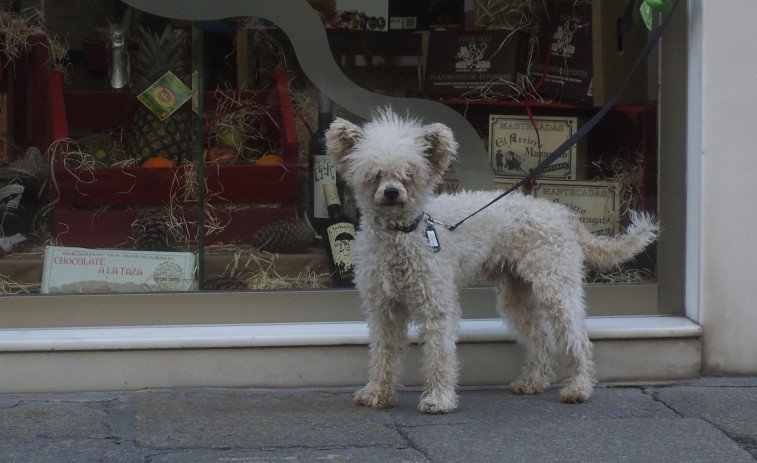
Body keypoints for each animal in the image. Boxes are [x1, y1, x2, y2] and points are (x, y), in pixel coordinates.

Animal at [324, 109, 656, 416]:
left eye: (409, 174)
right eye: (375, 174)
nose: (392, 192)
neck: (404, 233)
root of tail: (564, 215)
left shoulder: (437, 306)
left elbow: (439, 354)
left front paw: (439, 399)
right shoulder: (383, 309)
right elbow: (383, 353)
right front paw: (378, 393)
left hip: (556, 286)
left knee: (578, 339)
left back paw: (578, 388)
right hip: (519, 295)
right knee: (543, 338)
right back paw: (534, 382)